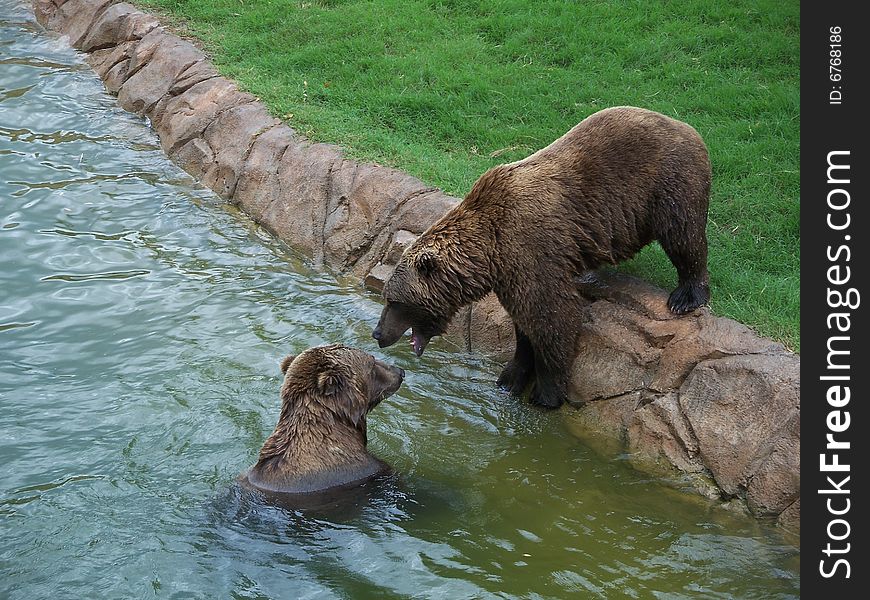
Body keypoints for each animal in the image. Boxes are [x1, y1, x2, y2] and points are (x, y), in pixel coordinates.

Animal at [372, 106, 712, 408]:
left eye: (394, 301)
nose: (377, 334)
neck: (489, 252)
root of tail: (685, 125)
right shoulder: (510, 273)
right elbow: (525, 326)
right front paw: (511, 377)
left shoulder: (531, 249)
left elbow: (552, 318)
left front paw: (545, 393)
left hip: (665, 181)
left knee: (684, 235)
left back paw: (686, 296)